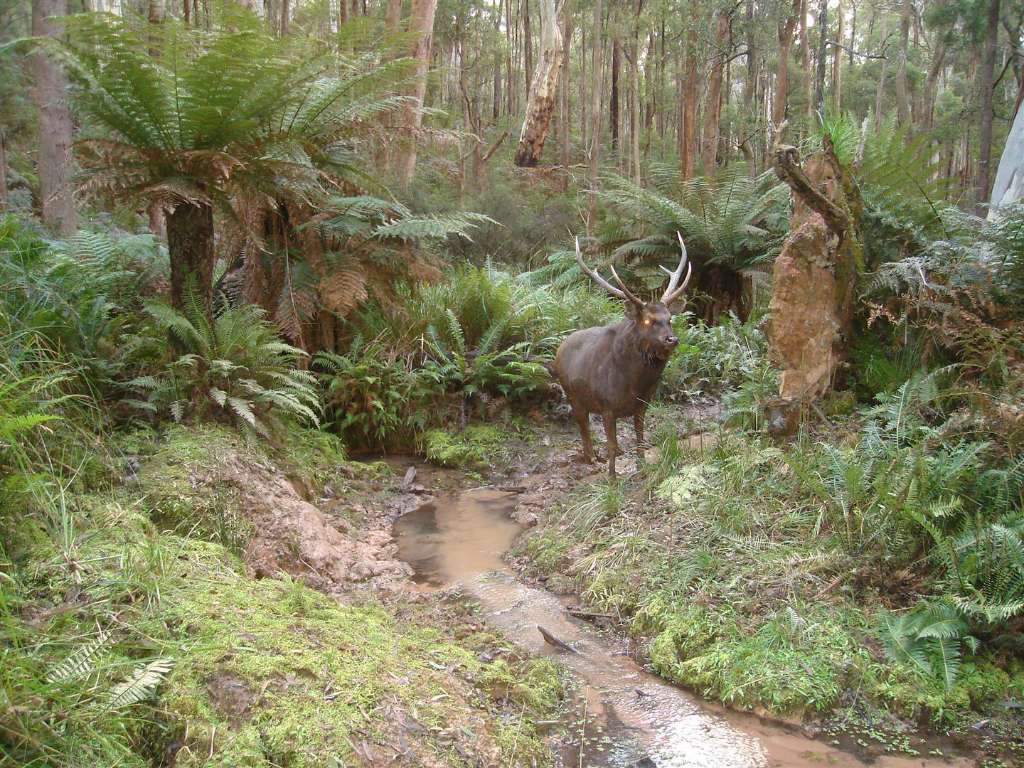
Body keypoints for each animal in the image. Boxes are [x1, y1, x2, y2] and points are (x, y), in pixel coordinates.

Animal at [553, 233, 693, 477]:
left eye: (669, 318)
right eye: (647, 320)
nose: (671, 339)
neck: (635, 384)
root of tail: (560, 347)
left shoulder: (642, 405)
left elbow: (640, 438)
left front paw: (642, 468)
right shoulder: (606, 406)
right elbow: (610, 442)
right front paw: (612, 477)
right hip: (571, 393)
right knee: (583, 424)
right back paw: (591, 457)